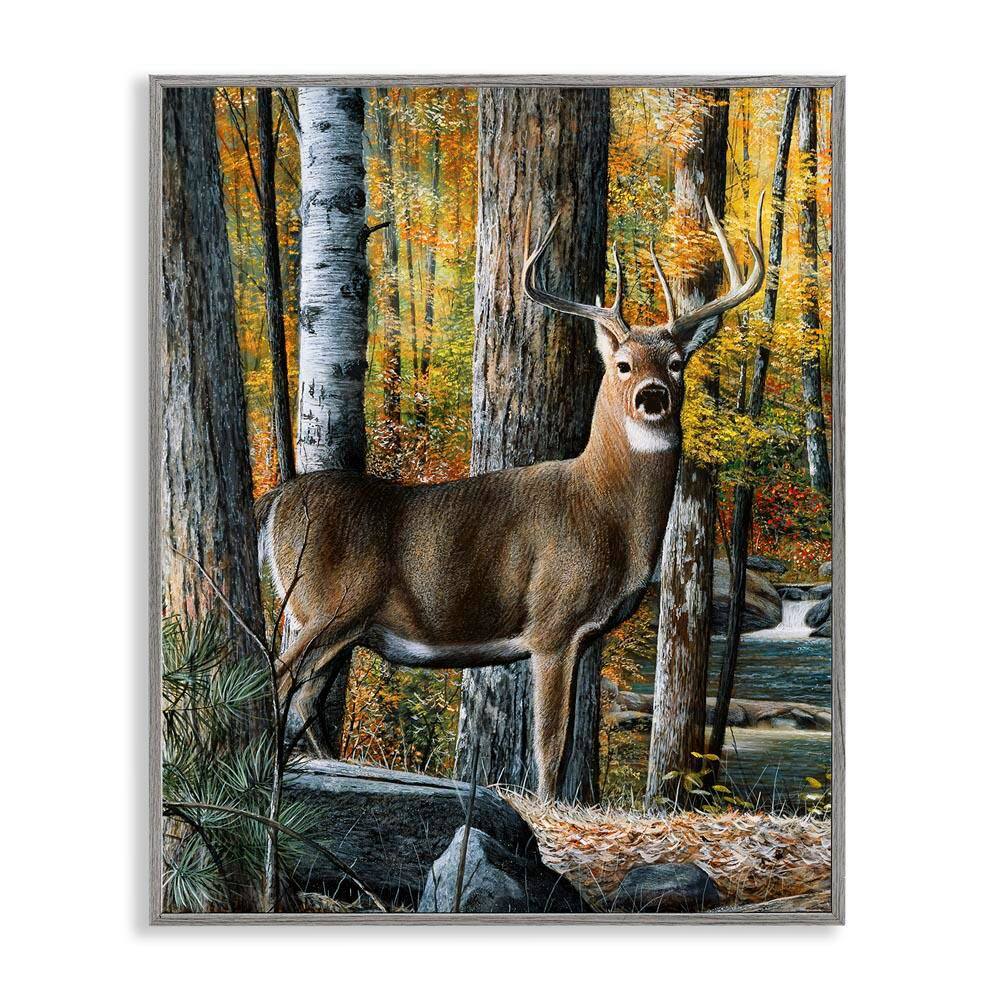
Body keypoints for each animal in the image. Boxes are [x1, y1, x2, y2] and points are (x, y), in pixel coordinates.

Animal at [256, 194, 765, 800]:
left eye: (677, 363)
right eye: (622, 364)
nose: (652, 395)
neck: (605, 510)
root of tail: (274, 504)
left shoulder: (583, 637)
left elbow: (563, 743)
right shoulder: (551, 622)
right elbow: (550, 745)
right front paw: (546, 807)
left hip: (340, 624)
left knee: (303, 695)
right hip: (326, 605)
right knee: (278, 678)